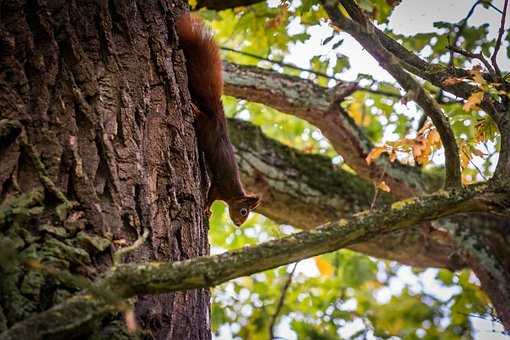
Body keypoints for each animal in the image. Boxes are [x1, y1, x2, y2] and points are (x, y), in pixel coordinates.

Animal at [176, 13, 262, 226]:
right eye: (243, 211)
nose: (239, 224)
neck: (234, 194)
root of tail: (217, 116)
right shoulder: (219, 186)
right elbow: (210, 196)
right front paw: (206, 209)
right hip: (205, 125)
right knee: (200, 117)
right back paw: (193, 109)